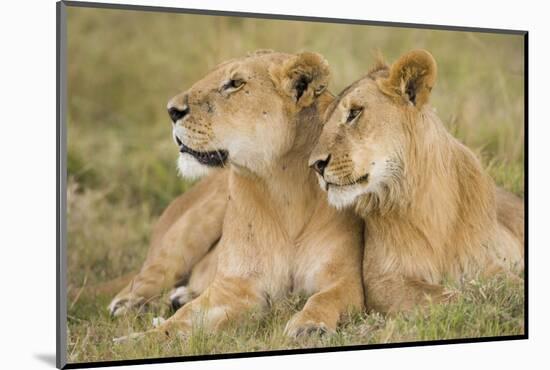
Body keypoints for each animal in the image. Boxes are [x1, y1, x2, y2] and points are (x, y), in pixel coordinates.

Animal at [115, 49, 366, 342]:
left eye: (235, 83)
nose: (171, 110)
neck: (285, 187)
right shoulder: (232, 287)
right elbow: (180, 321)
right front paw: (134, 341)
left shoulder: (345, 279)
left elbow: (323, 299)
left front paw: (309, 326)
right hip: (190, 228)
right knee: (150, 274)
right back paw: (128, 304)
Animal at [310, 49, 528, 314]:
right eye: (324, 124)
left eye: (354, 113)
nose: (315, 165)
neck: (426, 198)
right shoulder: (382, 280)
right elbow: (452, 297)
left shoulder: (484, 263)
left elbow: (512, 286)